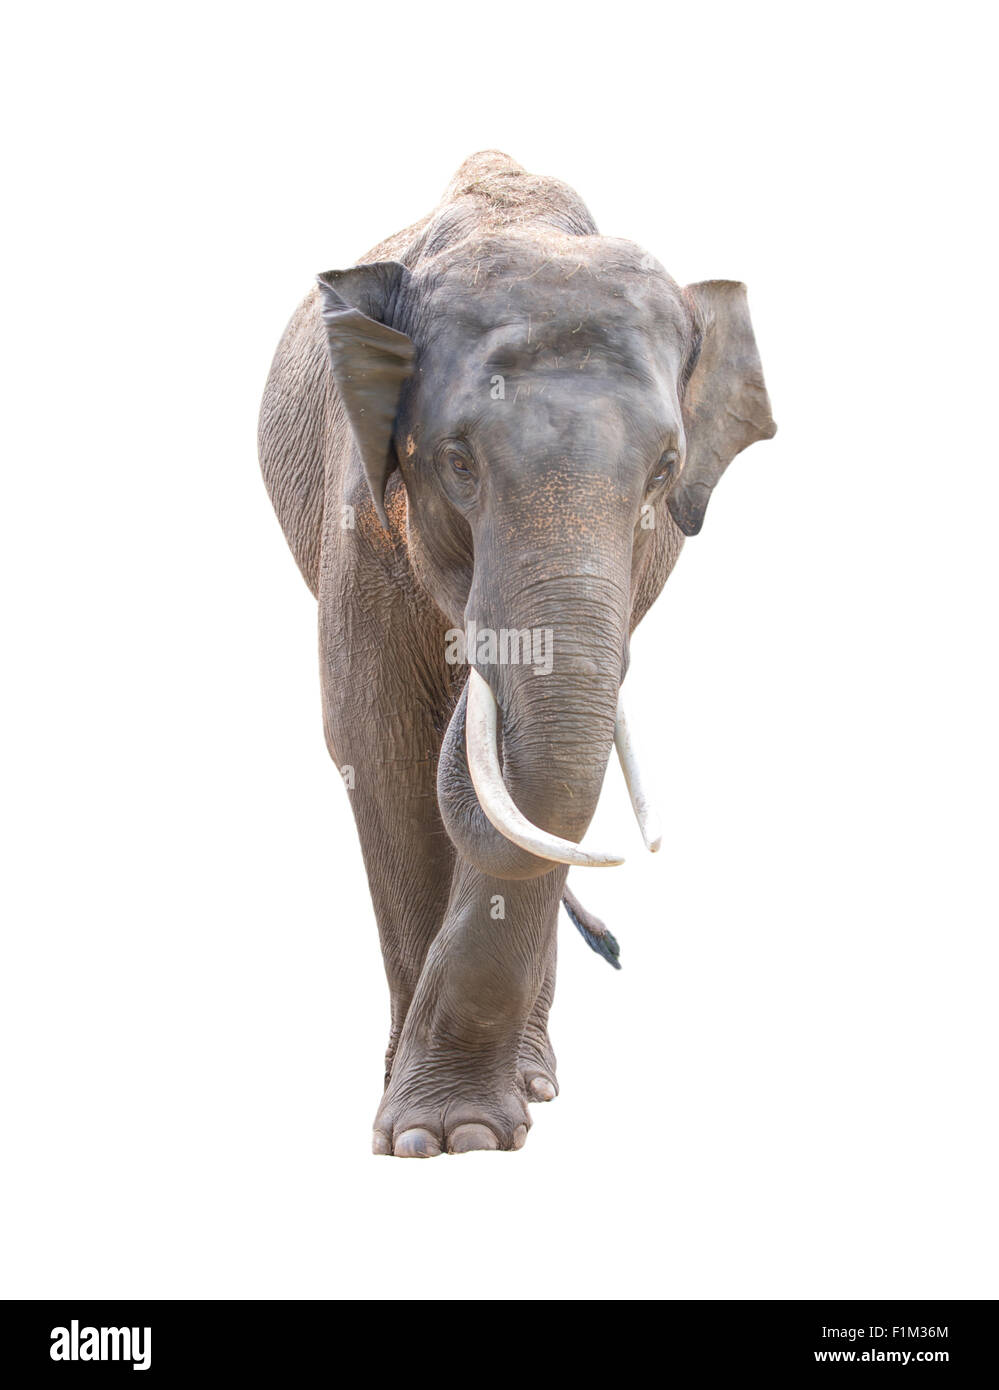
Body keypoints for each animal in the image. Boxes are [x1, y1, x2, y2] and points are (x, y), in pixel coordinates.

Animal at [258, 151, 776, 1157]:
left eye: (663, 470)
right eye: (456, 461)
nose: (472, 657)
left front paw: (463, 1129)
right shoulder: (357, 513)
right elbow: (374, 744)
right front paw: (427, 1136)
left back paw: (534, 1079)